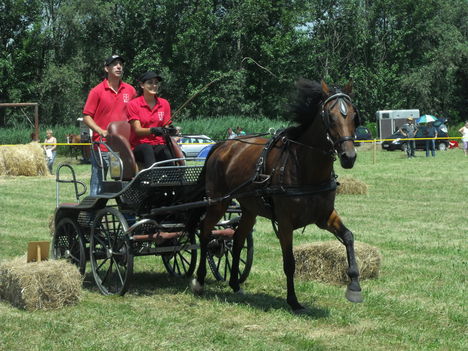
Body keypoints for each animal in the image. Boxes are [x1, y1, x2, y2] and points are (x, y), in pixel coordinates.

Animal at [189, 79, 362, 314]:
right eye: (331, 117)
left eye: (354, 116)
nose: (348, 157)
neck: (306, 168)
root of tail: (223, 145)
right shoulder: (285, 223)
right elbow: (289, 262)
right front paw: (293, 300)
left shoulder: (324, 216)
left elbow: (349, 237)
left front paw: (354, 286)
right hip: (219, 202)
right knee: (206, 231)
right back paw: (199, 280)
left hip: (249, 209)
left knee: (238, 239)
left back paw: (235, 284)